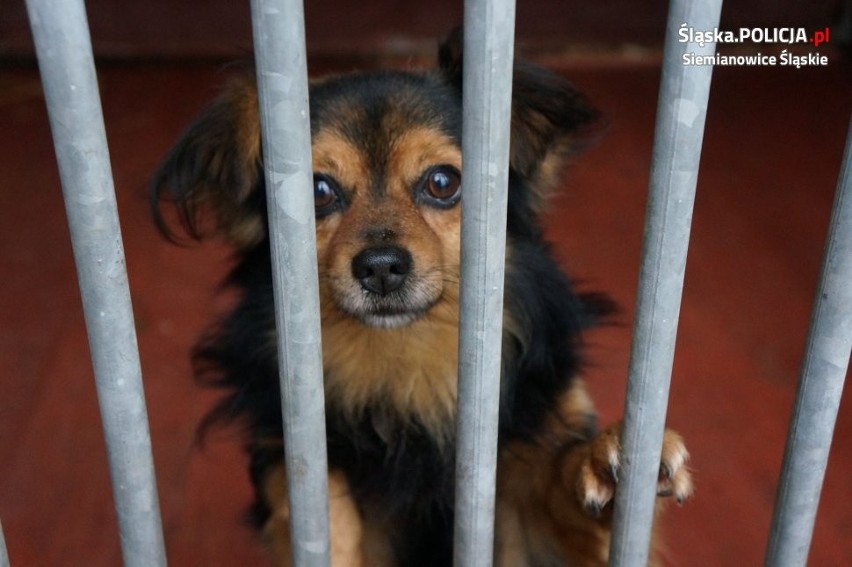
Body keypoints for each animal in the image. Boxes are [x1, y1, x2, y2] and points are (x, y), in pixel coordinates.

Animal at [151, 32, 692, 567]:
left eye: (442, 182)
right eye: (317, 191)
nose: (380, 267)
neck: (406, 367)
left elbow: (562, 485)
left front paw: (607, 458)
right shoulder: (284, 441)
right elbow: (308, 488)